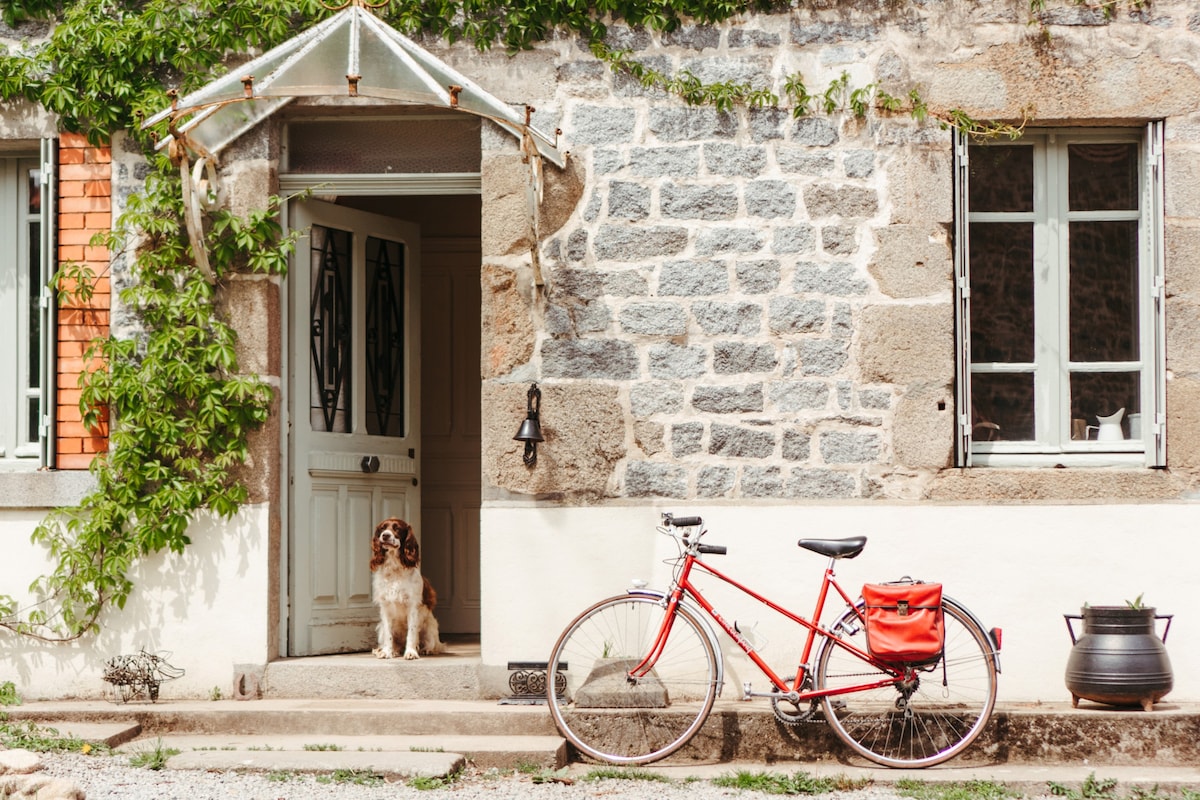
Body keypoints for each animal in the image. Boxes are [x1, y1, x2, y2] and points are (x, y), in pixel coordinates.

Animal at [367, 515, 444, 662]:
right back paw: (390, 651)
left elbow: (412, 633)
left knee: (433, 644)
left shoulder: (412, 606)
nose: (385, 535)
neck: (394, 568)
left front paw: (411, 653)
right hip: (380, 627)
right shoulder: (385, 607)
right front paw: (387, 652)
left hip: (430, 626)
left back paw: (426, 650)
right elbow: (389, 635)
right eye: (382, 528)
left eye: (397, 528)